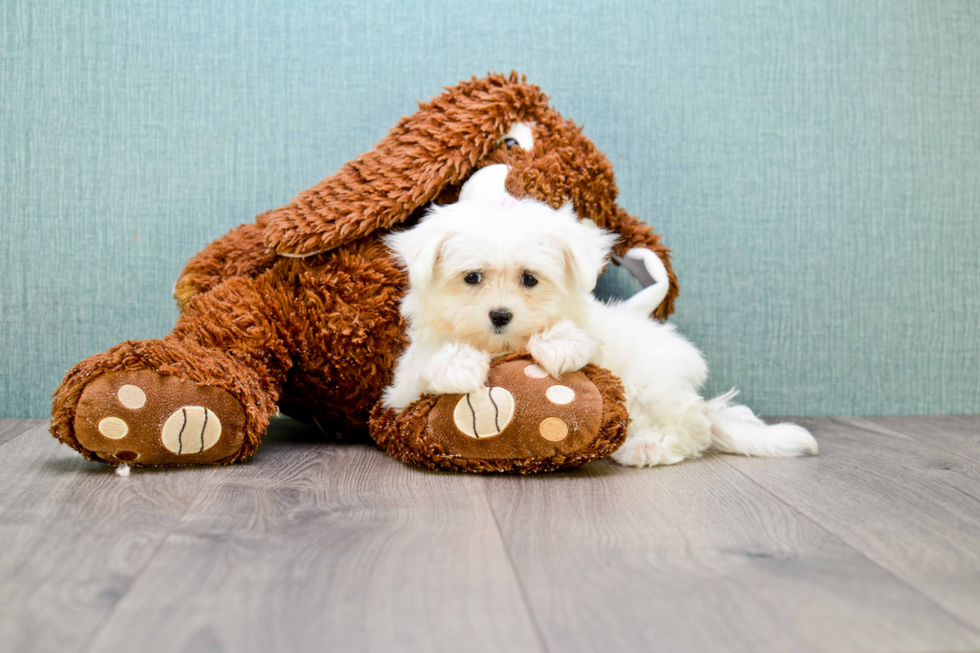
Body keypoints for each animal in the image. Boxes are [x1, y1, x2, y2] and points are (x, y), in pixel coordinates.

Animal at [386, 197, 816, 464]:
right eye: (472, 277)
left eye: (529, 279)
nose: (500, 315)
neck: (501, 348)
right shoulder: (401, 389)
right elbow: (426, 368)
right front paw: (458, 365)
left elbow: (586, 341)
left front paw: (558, 344)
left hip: (654, 383)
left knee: (691, 428)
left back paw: (645, 448)